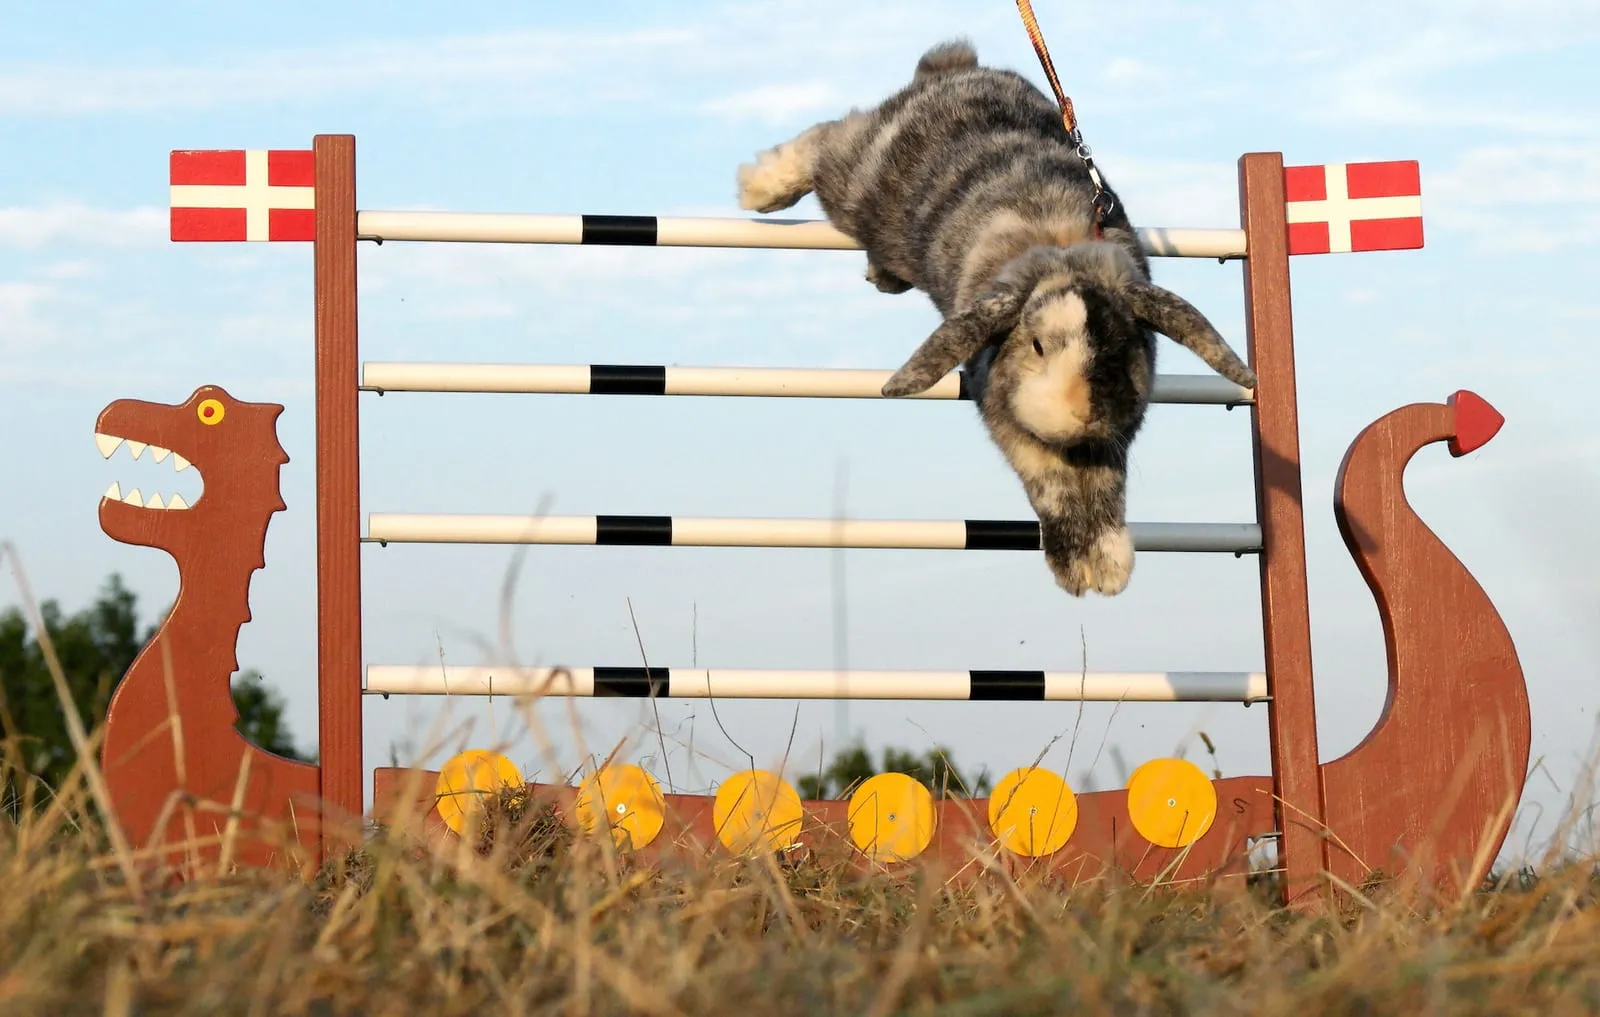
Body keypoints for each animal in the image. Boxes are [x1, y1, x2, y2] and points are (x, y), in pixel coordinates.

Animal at [735, 38, 1256, 597]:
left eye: (1121, 345)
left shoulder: (1109, 443)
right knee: (828, 140)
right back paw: (760, 188)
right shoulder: (1009, 420)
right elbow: (1052, 485)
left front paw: (1107, 567)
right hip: (857, 185)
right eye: (1038, 346)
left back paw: (879, 272)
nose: (1082, 411)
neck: (1063, 252)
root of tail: (954, 70)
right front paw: (1084, 570)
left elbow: (1104, 490)